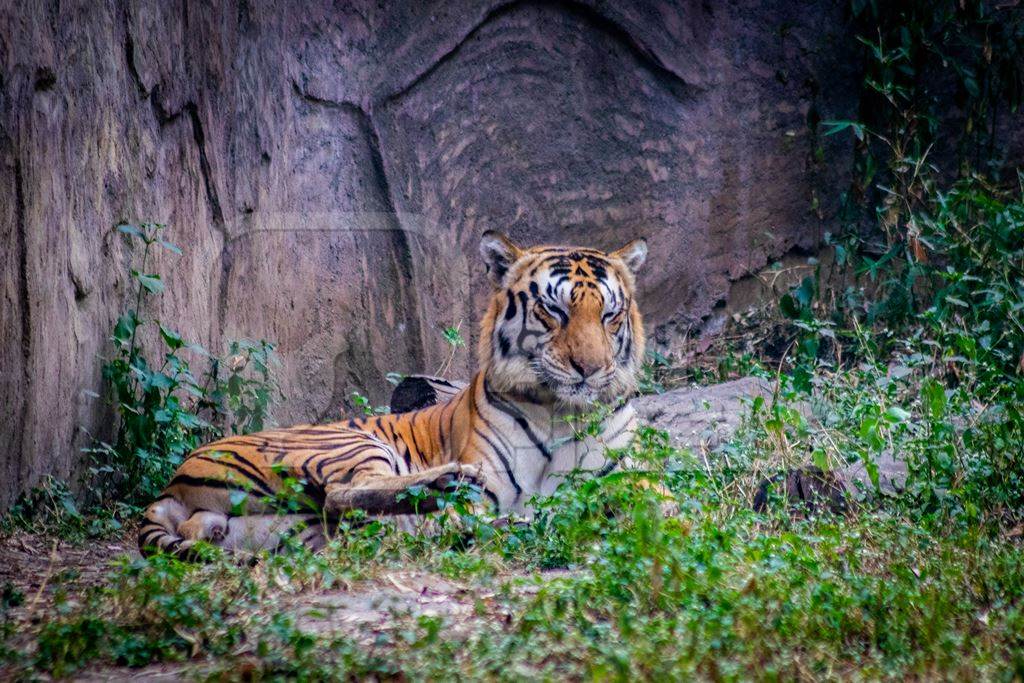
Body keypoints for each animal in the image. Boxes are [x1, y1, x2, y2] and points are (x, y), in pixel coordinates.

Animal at [138, 232, 647, 557]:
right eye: (553, 310)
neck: (562, 409)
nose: (590, 369)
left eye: (609, 314)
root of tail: (171, 483)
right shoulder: (489, 490)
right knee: (344, 493)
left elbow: (650, 499)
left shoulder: (628, 473)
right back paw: (446, 484)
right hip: (346, 445)